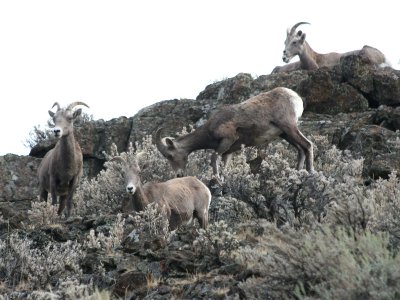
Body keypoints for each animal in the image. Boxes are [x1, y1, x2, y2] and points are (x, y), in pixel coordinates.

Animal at [155, 86, 312, 180]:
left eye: (170, 155)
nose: (178, 175)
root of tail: (294, 96)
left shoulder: (227, 140)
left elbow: (213, 158)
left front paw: (217, 179)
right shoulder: (228, 152)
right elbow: (225, 167)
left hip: (289, 127)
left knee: (308, 145)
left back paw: (311, 173)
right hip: (285, 134)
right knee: (301, 149)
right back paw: (298, 173)